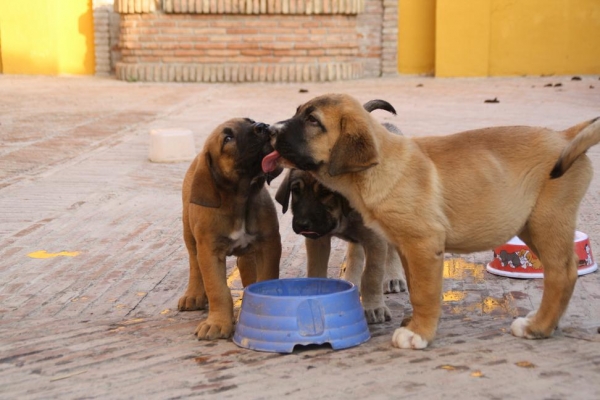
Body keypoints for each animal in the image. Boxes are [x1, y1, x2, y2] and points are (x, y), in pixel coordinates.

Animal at [179, 119, 282, 340]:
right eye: (227, 138)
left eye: (250, 121)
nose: (262, 126)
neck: (240, 199)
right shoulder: (209, 252)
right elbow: (217, 289)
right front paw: (217, 323)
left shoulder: (268, 244)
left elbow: (266, 277)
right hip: (189, 233)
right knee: (194, 263)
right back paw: (193, 294)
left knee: (246, 265)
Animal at [264, 92, 600, 348]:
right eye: (297, 111)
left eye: (313, 121)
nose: (269, 130)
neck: (381, 167)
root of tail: (565, 136)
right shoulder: (405, 245)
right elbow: (415, 288)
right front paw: (414, 322)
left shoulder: (423, 244)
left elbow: (423, 292)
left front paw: (418, 334)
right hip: (530, 224)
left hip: (548, 220)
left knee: (562, 273)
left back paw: (537, 327)